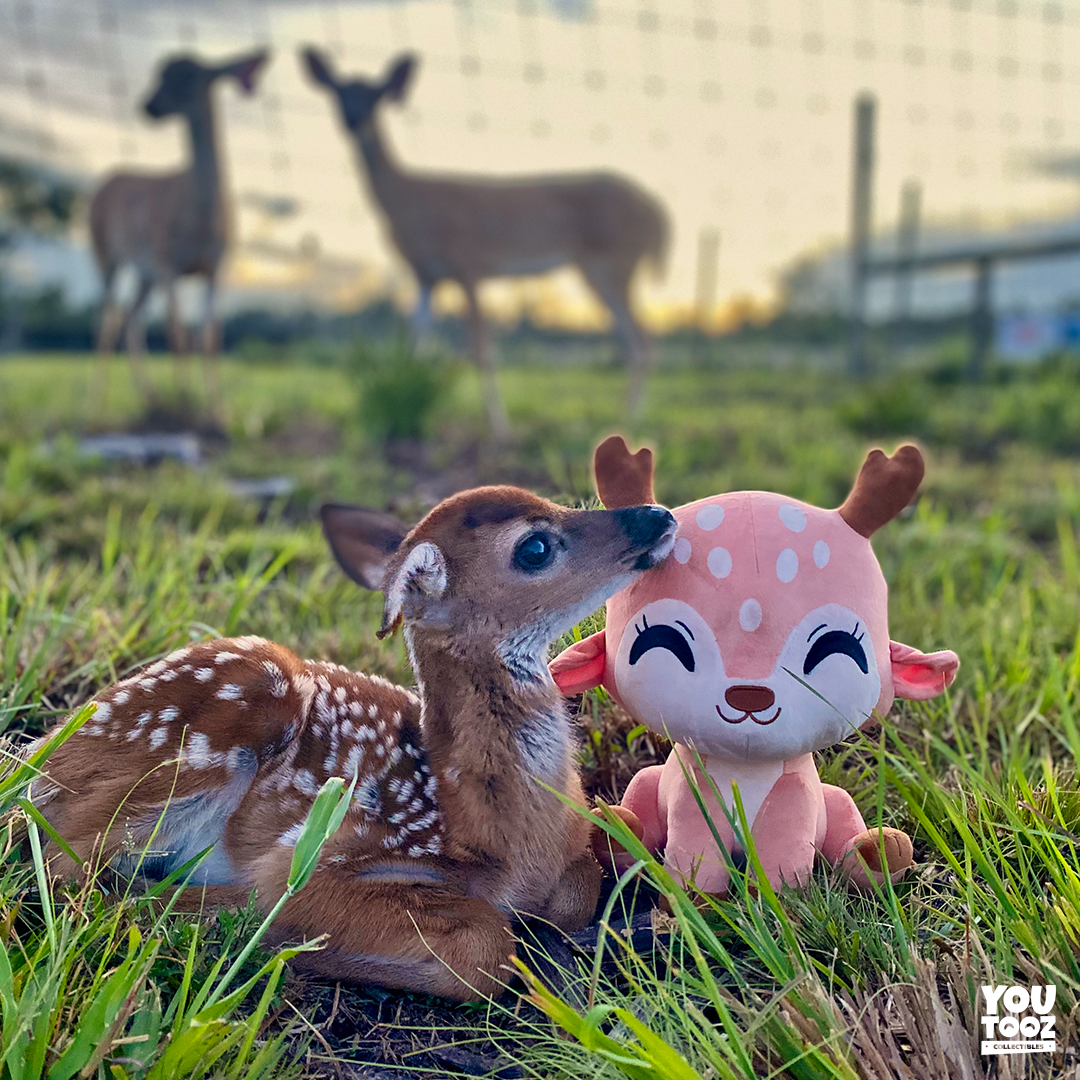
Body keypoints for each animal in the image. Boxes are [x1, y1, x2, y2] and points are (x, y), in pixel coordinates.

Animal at [22, 485, 676, 1001]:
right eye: (534, 547)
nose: (658, 514)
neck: (500, 838)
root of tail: (40, 754)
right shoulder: (327, 852)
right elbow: (484, 948)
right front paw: (280, 935)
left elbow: (579, 887)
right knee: (62, 867)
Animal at [89, 50, 269, 404]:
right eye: (159, 75)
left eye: (188, 76)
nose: (149, 106)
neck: (201, 220)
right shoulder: (168, 261)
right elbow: (178, 332)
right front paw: (185, 398)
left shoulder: (216, 265)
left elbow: (210, 335)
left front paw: (216, 405)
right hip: (105, 254)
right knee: (109, 320)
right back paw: (97, 402)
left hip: (145, 274)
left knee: (131, 319)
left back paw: (151, 396)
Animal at [300, 48, 670, 436]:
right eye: (338, 92)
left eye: (376, 96)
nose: (353, 120)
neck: (405, 199)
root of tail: (656, 211)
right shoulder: (425, 275)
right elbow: (417, 346)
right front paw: (409, 405)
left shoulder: (469, 265)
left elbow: (481, 350)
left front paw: (500, 428)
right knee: (633, 340)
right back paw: (618, 419)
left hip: (612, 262)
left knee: (644, 340)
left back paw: (629, 420)